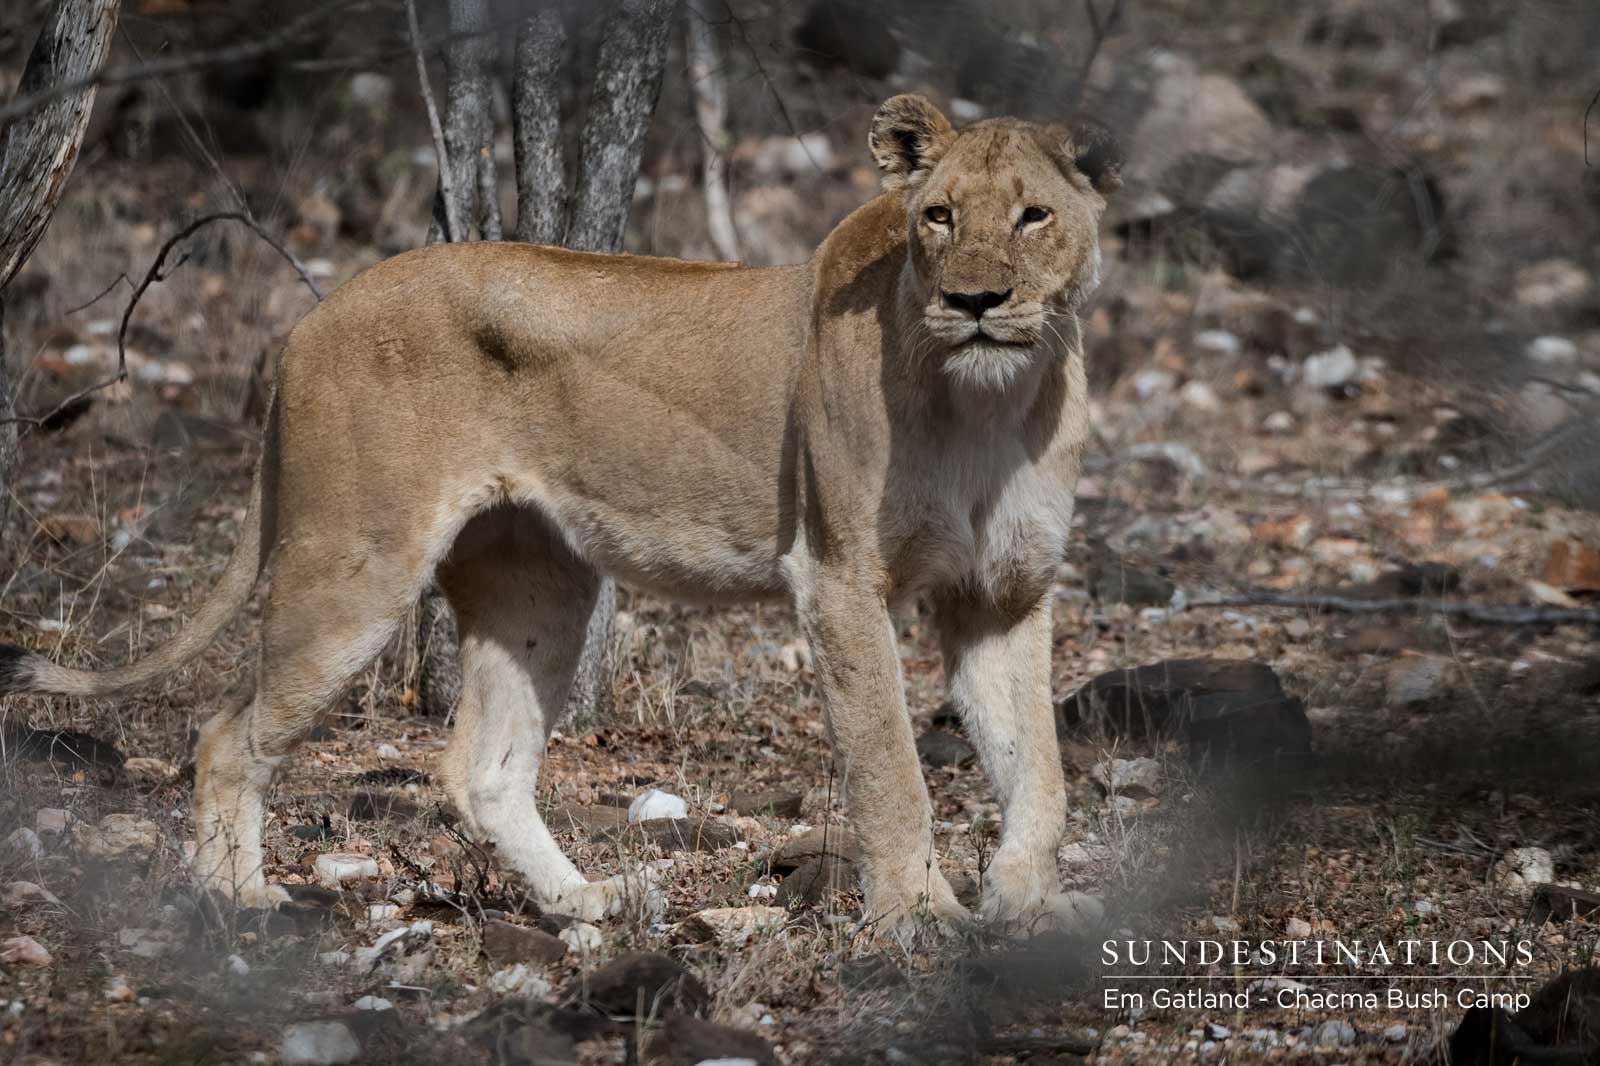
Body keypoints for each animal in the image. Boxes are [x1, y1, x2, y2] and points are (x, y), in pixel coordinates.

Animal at [0, 95, 1121, 936]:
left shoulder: (1001, 594)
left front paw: (1029, 906)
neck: (990, 401)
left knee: (481, 770)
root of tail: (312, 319)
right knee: (228, 732)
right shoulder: (839, 577)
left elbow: (1039, 768)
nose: (974, 302)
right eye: (938, 217)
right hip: (355, 560)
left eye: (1032, 216)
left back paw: (588, 903)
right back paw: (234, 899)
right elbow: (893, 766)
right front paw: (920, 917)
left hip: (539, 580)